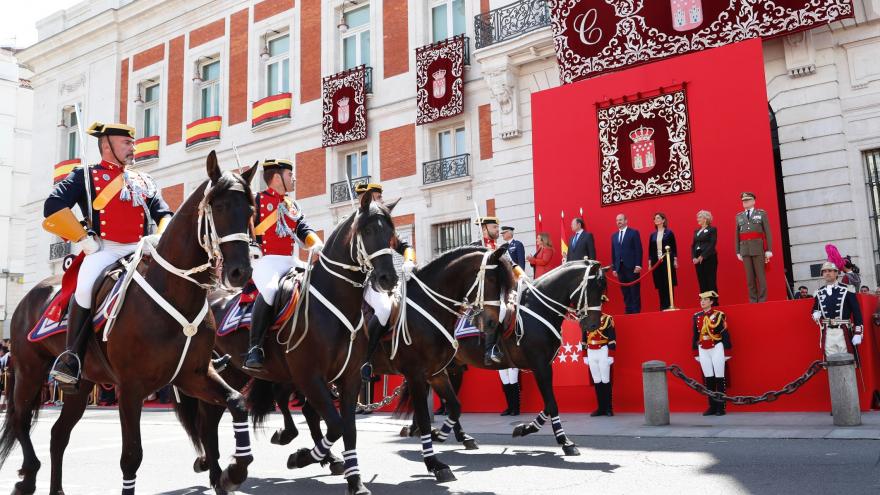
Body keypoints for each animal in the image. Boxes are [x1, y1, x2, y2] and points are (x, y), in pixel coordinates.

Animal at [0, 152, 260, 495]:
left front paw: (234, 471)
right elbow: (131, 456)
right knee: (19, 418)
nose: (240, 272)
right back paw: (28, 476)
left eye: (251, 210)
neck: (175, 292)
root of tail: (32, 294)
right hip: (29, 370)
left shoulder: (194, 375)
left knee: (58, 434)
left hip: (80, 385)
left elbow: (238, 402)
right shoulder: (131, 387)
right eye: (219, 207)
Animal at [174, 191, 398, 495]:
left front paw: (356, 482)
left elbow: (348, 429)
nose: (389, 278)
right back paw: (217, 472)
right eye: (369, 230)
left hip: (233, 372)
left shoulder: (349, 379)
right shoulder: (309, 377)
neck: (334, 304)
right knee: (208, 417)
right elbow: (334, 425)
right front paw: (302, 457)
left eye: (391, 233)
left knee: (214, 413)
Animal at [398, 260, 604, 458]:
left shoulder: (544, 367)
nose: (593, 325)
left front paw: (524, 428)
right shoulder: (540, 366)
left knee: (449, 402)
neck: (538, 309)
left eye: (603, 292)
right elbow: (552, 404)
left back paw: (454, 436)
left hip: (453, 368)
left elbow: (548, 404)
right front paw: (565, 442)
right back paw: (425, 431)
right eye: (593, 288)